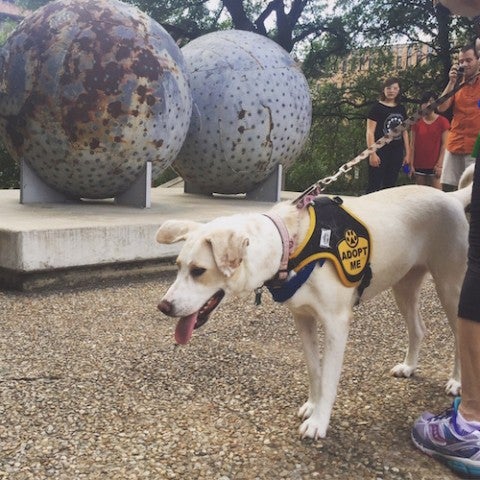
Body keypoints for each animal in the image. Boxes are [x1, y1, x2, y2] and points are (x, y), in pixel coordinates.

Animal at [156, 174, 470, 440]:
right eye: (178, 266)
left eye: (199, 271)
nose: (163, 306)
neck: (289, 243)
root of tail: (451, 197)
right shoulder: (303, 318)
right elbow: (314, 369)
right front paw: (312, 405)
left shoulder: (336, 324)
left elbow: (329, 377)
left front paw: (319, 422)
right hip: (404, 286)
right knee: (419, 328)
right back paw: (409, 366)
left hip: (451, 289)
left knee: (459, 337)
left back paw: (457, 383)